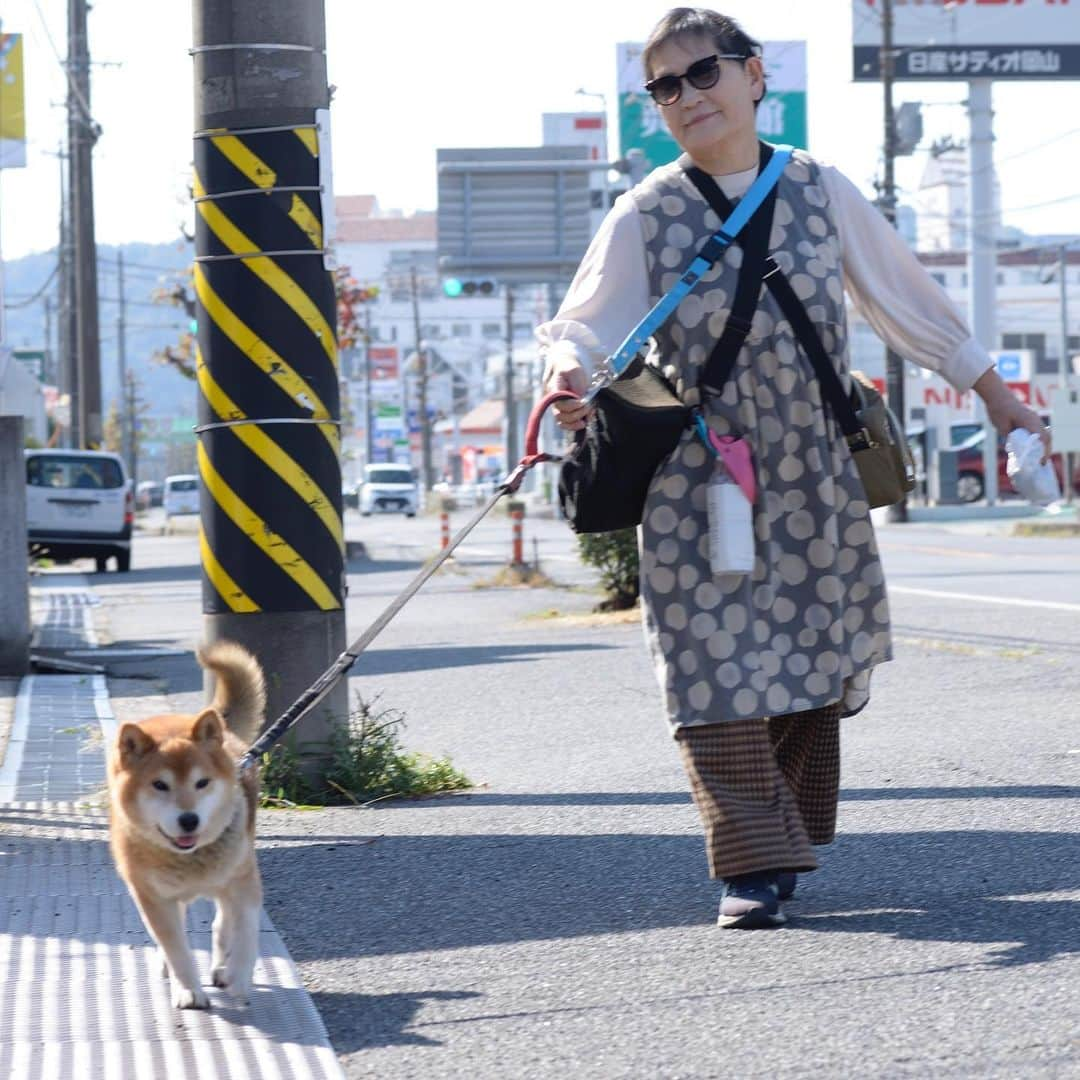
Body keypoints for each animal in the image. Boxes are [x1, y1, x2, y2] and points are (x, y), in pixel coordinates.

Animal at [106, 635, 265, 1006]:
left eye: (201, 783)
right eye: (160, 785)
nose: (189, 820)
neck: (191, 858)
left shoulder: (244, 882)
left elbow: (246, 933)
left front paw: (239, 976)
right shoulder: (153, 898)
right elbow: (176, 948)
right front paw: (189, 990)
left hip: (231, 875)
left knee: (223, 923)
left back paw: (222, 968)